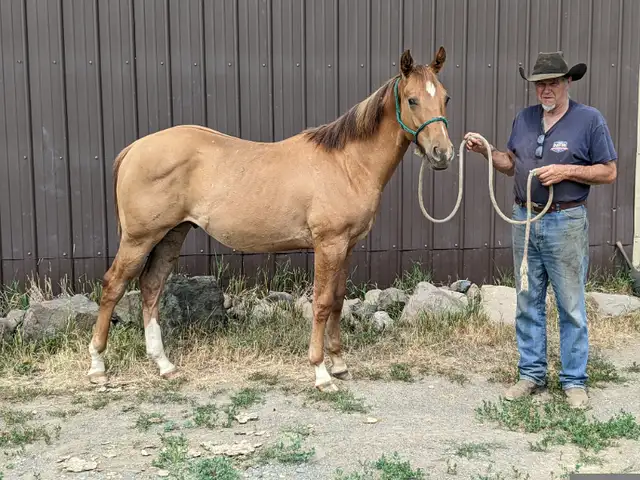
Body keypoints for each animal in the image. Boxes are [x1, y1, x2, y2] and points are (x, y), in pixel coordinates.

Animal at [87, 47, 454, 392]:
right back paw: (98, 367)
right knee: (113, 286)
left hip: (171, 235)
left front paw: (339, 363)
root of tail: (134, 149)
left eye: (446, 97)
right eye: (412, 99)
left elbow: (337, 300)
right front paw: (321, 372)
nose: (443, 154)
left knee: (151, 287)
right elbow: (322, 303)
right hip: (139, 239)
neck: (346, 163)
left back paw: (164, 365)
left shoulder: (347, 246)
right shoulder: (329, 244)